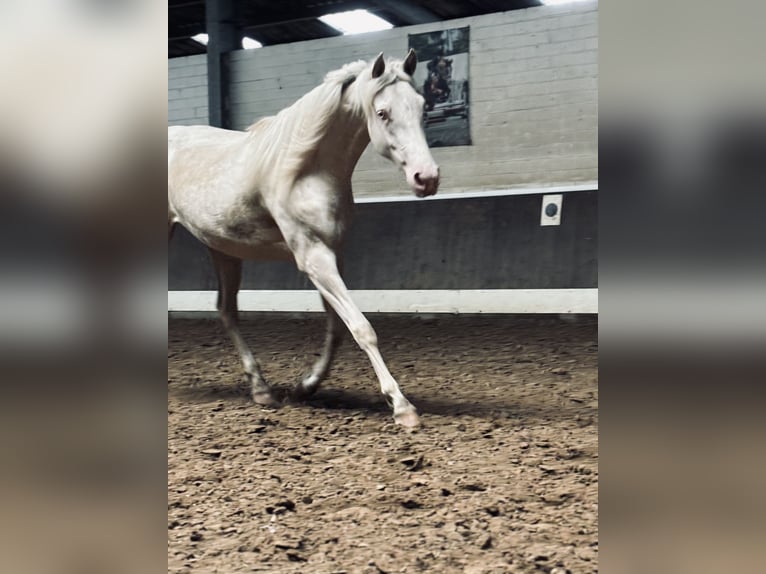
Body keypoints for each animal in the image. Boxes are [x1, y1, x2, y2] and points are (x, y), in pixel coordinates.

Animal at [170, 51, 440, 428]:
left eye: (420, 106)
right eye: (382, 112)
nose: (426, 178)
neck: (307, 170)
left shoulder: (330, 254)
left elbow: (339, 328)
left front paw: (305, 387)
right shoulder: (313, 256)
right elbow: (362, 327)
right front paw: (402, 406)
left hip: (222, 249)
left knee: (226, 311)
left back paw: (261, 390)